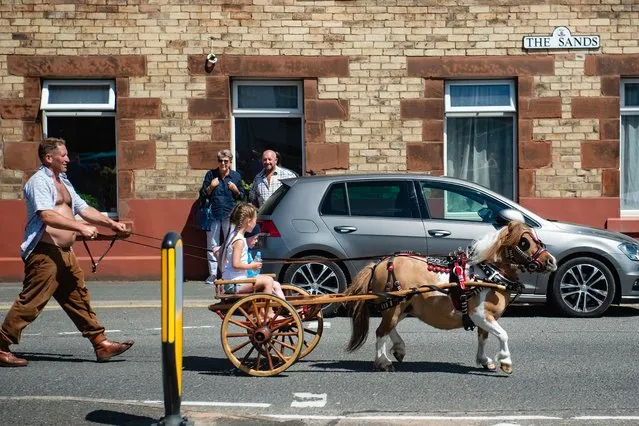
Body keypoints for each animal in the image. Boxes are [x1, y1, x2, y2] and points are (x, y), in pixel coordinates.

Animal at [344, 221, 556, 374]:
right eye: (524, 242)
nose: (552, 261)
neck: (488, 275)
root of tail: (379, 263)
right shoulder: (480, 314)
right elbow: (503, 334)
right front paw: (505, 361)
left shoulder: (484, 318)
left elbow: (483, 338)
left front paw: (484, 360)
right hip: (394, 306)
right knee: (381, 332)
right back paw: (383, 362)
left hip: (403, 305)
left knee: (390, 328)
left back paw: (399, 348)